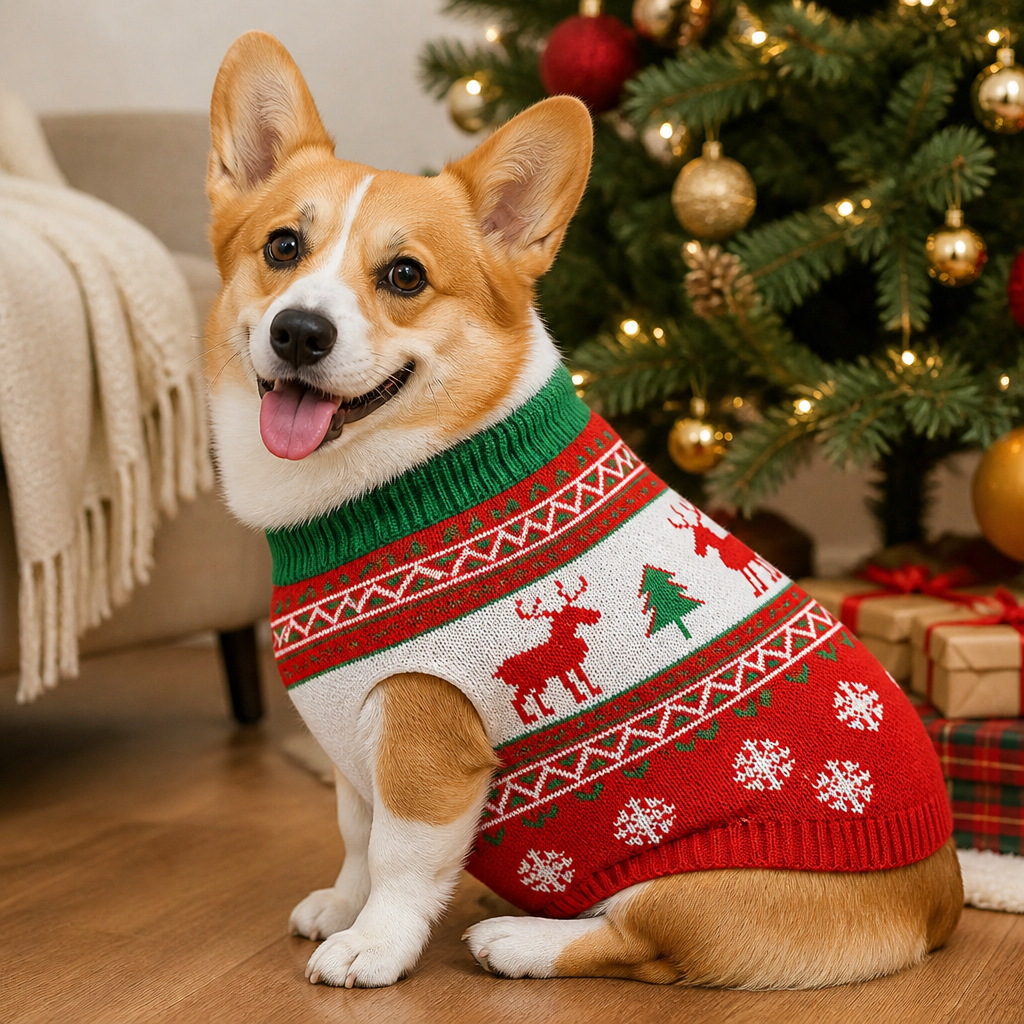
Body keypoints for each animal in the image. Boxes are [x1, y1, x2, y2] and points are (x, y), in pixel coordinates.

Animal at [494, 576, 603, 726]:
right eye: (571, 613)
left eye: (574, 608)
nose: (594, 614)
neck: (564, 641)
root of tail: (501, 670)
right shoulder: (561, 670)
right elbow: (571, 684)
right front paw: (581, 698)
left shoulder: (574, 664)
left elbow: (583, 678)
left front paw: (593, 692)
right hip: (525, 683)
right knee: (518, 700)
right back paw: (533, 717)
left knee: (531, 696)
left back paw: (543, 713)